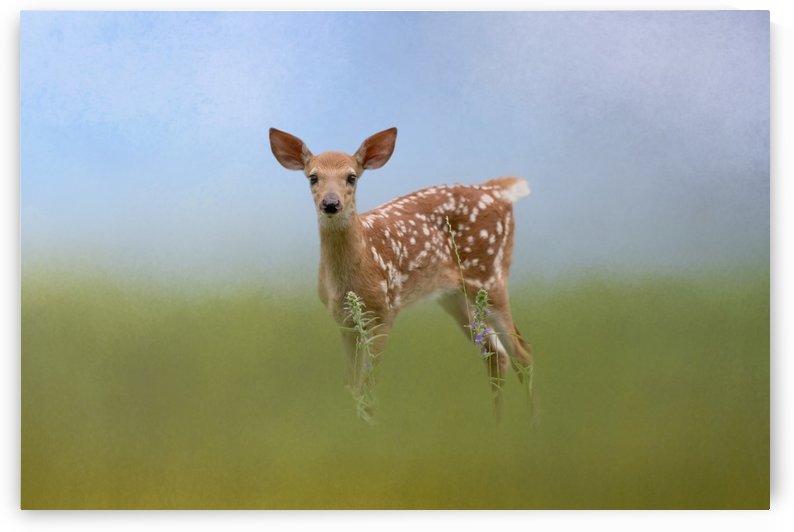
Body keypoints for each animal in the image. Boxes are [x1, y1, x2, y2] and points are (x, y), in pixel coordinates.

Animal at [269, 127, 534, 419]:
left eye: (351, 177)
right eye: (313, 177)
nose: (330, 203)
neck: (356, 269)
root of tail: (497, 191)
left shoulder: (384, 310)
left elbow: (368, 388)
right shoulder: (343, 319)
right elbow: (351, 385)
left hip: (490, 274)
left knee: (523, 353)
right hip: (455, 296)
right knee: (497, 354)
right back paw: (498, 422)